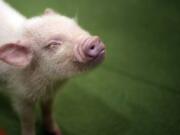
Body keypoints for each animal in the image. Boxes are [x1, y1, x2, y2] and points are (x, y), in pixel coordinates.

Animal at [0, 0, 105, 135]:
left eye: (75, 24)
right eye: (53, 44)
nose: (94, 40)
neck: (49, 82)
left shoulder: (50, 95)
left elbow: (48, 110)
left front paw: (57, 132)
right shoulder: (21, 96)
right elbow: (28, 119)